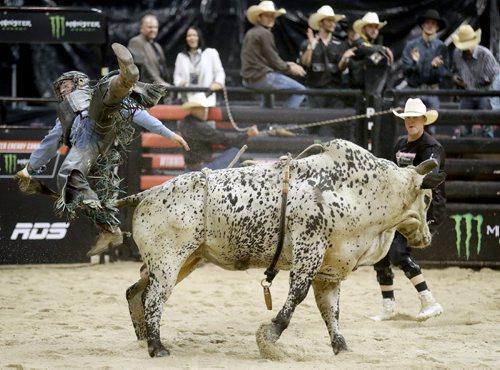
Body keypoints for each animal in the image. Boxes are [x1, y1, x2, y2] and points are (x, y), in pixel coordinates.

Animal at [118, 139, 446, 358]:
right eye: (427, 198)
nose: (427, 237)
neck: (359, 189)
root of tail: (147, 193)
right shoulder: (309, 249)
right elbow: (297, 295)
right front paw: (270, 334)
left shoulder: (329, 269)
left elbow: (331, 309)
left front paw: (340, 346)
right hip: (168, 261)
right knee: (154, 299)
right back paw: (157, 346)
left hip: (184, 261)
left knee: (136, 292)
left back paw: (143, 338)